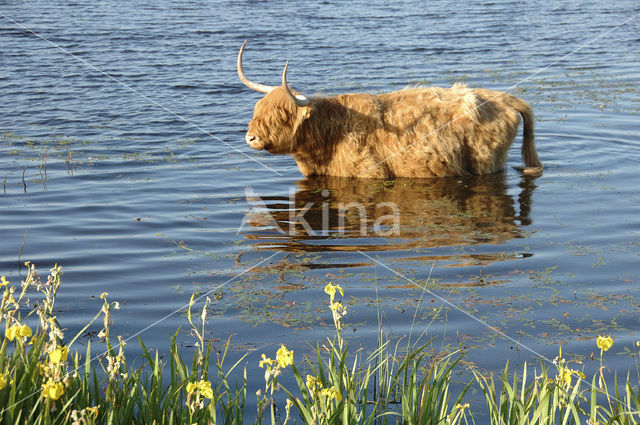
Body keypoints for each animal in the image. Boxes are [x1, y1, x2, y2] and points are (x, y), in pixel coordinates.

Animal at [238, 41, 544, 177]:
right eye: (257, 109)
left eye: (281, 115)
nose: (250, 137)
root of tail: (503, 97)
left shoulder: (368, 174)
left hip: (485, 162)